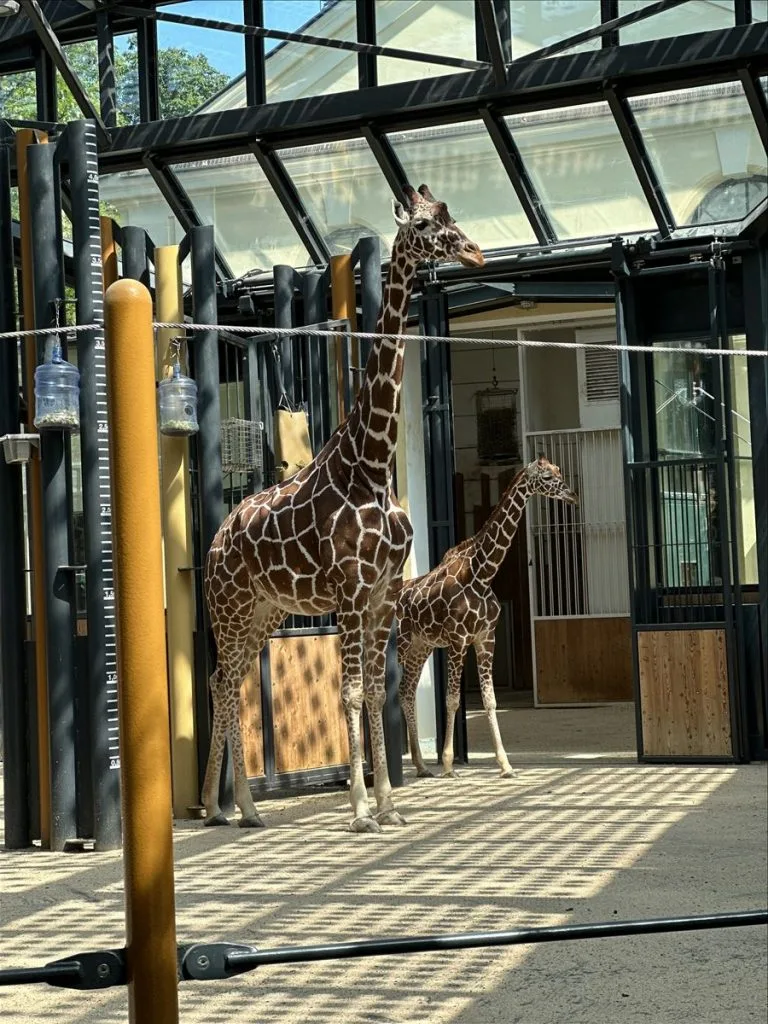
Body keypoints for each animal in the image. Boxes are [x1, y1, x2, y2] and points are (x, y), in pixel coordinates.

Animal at [203, 184, 484, 833]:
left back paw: (233, 808)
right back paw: (235, 807)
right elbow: (352, 692)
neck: (373, 464)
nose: (475, 253)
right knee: (225, 682)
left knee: (227, 680)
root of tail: (218, 536)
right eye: (426, 226)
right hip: (229, 609)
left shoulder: (383, 594)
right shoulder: (353, 593)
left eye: (451, 215)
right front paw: (359, 810)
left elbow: (377, 692)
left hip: (265, 612)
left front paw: (388, 806)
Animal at [396, 456, 578, 779]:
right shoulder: (458, 640)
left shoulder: (485, 639)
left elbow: (490, 700)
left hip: (421, 647)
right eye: (546, 477)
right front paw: (448, 764)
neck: (482, 574)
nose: (572, 496)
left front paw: (505, 765)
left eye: (558, 470)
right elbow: (452, 699)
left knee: (406, 692)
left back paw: (420, 765)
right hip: (400, 646)